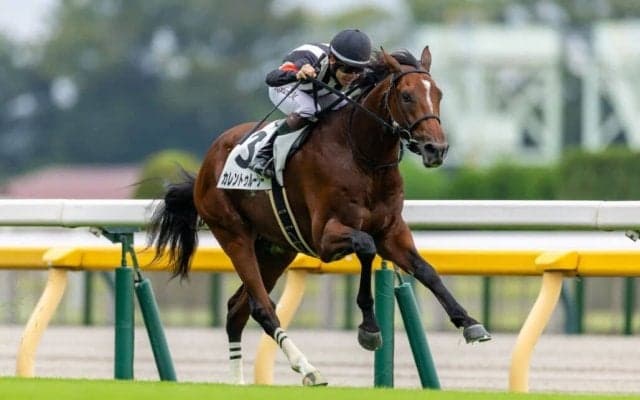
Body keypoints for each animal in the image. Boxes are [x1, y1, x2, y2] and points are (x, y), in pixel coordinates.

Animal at [148, 46, 490, 386]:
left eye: (439, 94)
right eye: (406, 96)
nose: (436, 149)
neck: (362, 156)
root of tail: (207, 164)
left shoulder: (392, 232)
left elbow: (426, 270)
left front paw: (469, 322)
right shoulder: (325, 237)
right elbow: (365, 247)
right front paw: (369, 328)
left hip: (275, 249)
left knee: (238, 309)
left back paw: (238, 381)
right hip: (233, 234)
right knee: (262, 307)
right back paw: (307, 368)